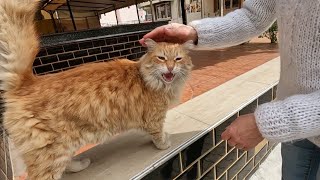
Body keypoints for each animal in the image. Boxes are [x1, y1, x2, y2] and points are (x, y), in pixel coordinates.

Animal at [0, 0, 192, 180]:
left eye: (178, 59)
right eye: (161, 58)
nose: (170, 68)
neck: (149, 79)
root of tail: (28, 82)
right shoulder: (154, 118)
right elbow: (158, 135)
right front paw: (164, 144)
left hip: (63, 147)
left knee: (68, 163)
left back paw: (81, 164)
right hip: (50, 154)